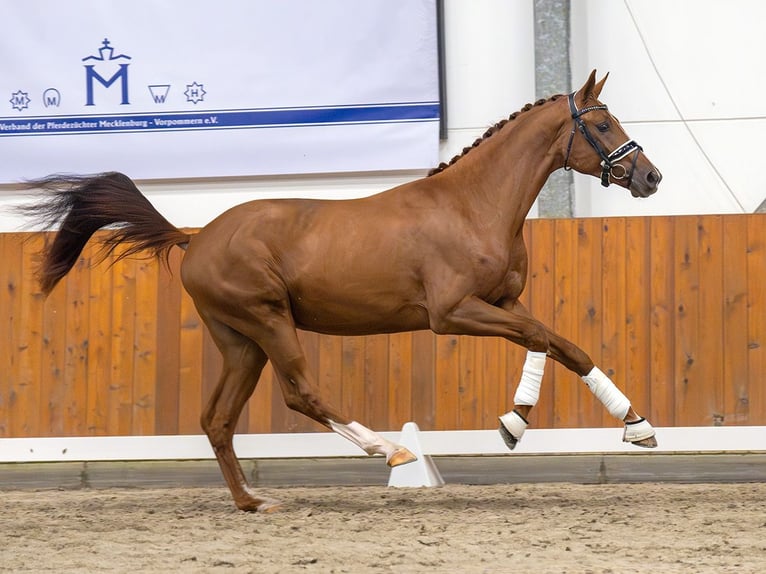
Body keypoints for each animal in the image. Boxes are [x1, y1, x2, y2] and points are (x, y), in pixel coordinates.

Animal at [24, 73, 664, 512]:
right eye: (601, 125)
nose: (649, 177)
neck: (472, 205)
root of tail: (195, 237)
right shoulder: (453, 313)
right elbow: (540, 337)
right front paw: (515, 424)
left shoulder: (501, 304)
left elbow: (560, 344)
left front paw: (632, 425)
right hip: (269, 322)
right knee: (299, 393)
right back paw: (390, 450)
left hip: (242, 342)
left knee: (217, 419)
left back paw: (253, 502)